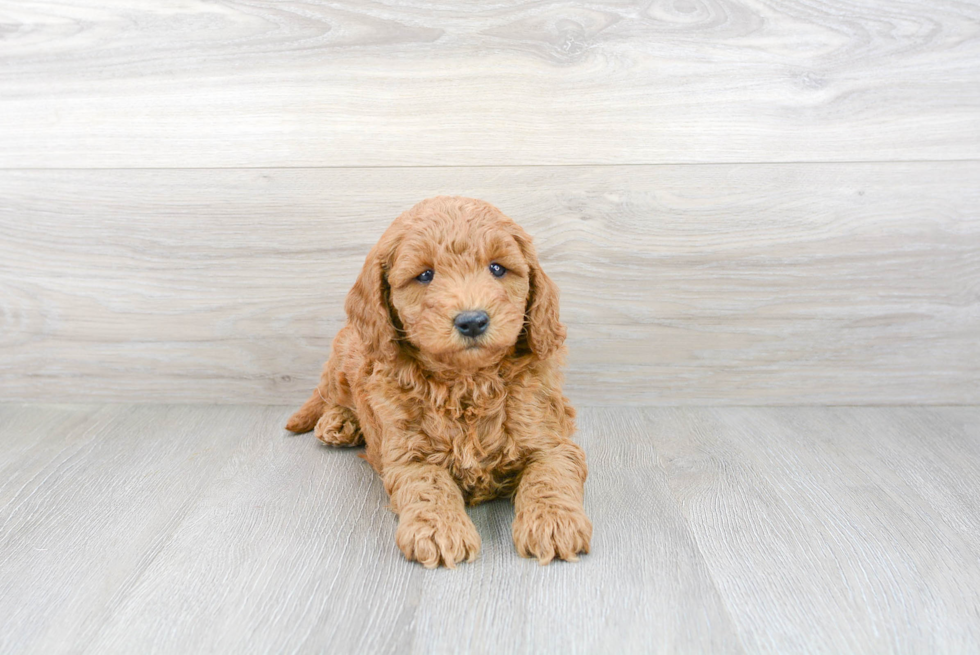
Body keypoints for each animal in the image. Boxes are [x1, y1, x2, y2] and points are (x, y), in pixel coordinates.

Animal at [284, 196, 588, 568]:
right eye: (425, 275)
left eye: (497, 268)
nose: (472, 321)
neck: (468, 382)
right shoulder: (408, 453)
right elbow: (428, 484)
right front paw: (439, 530)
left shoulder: (551, 439)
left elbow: (549, 475)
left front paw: (554, 522)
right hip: (344, 356)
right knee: (332, 396)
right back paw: (338, 421)